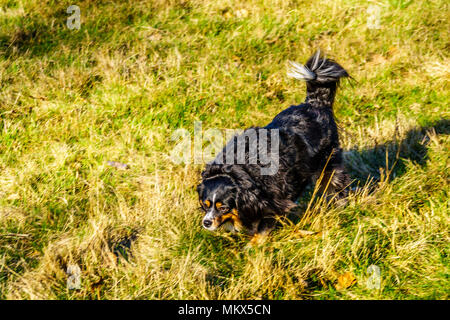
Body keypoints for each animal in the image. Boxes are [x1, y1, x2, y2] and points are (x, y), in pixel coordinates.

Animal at [198, 50, 352, 239]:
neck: (240, 173)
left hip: (329, 164)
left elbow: (262, 229)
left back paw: (341, 207)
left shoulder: (273, 200)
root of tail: (315, 103)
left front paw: (253, 244)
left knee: (337, 184)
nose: (206, 222)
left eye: (224, 207)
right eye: (205, 204)